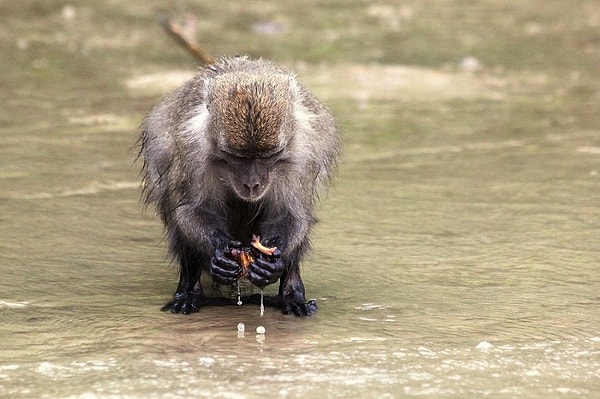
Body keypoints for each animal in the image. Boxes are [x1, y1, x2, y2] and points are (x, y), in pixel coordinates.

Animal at [138, 57, 340, 318]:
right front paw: (220, 249)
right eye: (237, 157)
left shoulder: (303, 153)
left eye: (268, 156)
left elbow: (292, 214)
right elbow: (189, 210)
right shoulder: (191, 149)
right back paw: (189, 291)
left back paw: (291, 294)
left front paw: (274, 262)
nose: (252, 183)